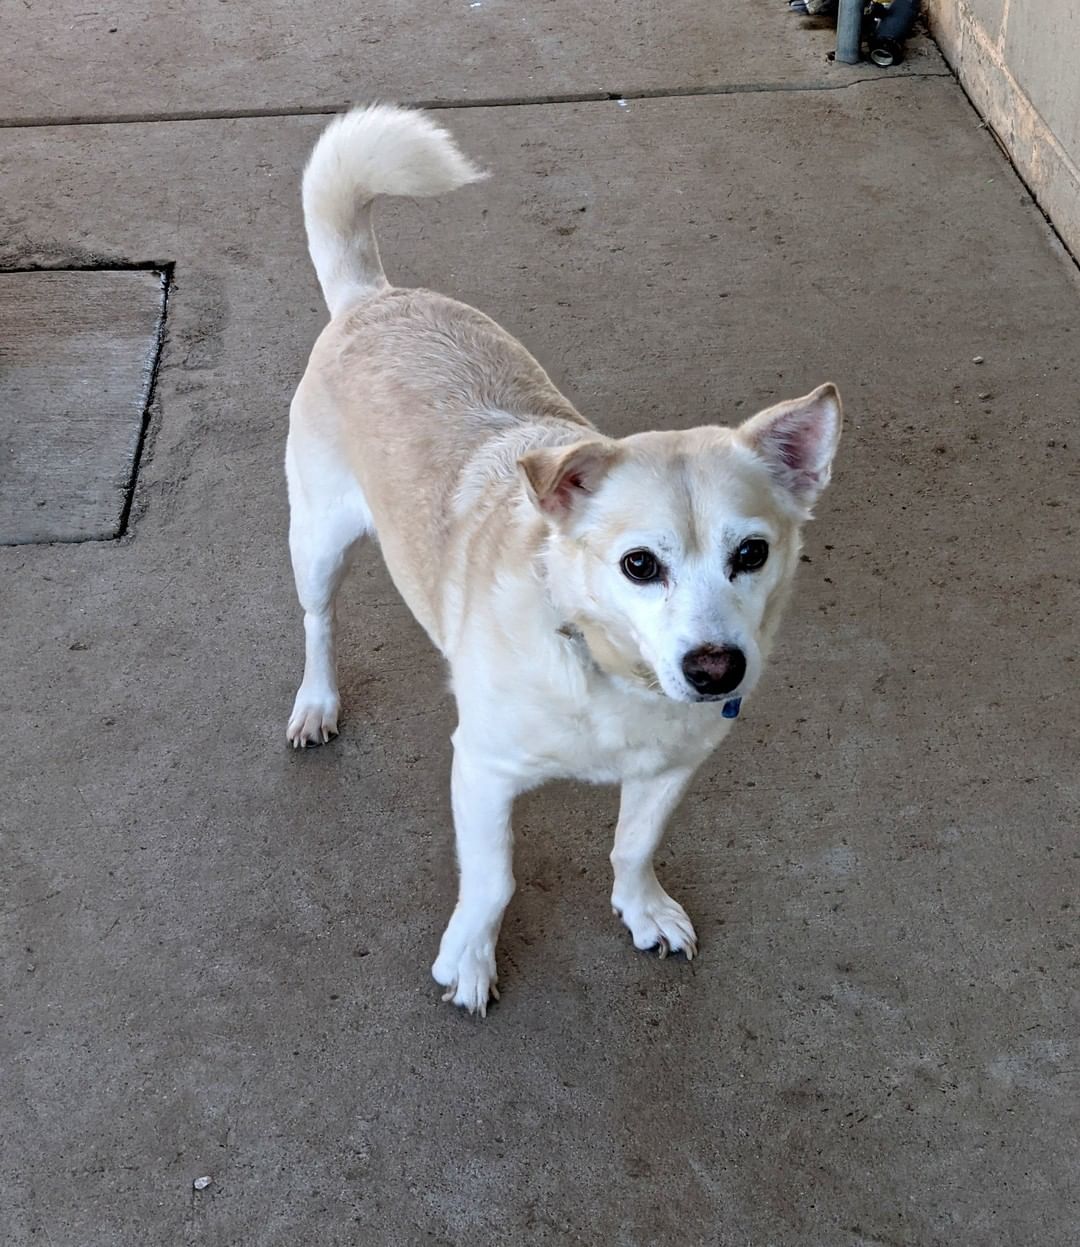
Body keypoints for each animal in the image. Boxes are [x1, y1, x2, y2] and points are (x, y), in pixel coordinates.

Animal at [286, 104, 843, 1012]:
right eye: (639, 565)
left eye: (752, 552)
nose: (717, 669)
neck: (607, 672)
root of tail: (375, 297)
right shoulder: (480, 769)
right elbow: (494, 881)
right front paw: (470, 957)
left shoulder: (669, 770)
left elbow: (632, 847)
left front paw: (643, 909)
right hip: (318, 542)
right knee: (318, 621)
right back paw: (316, 701)